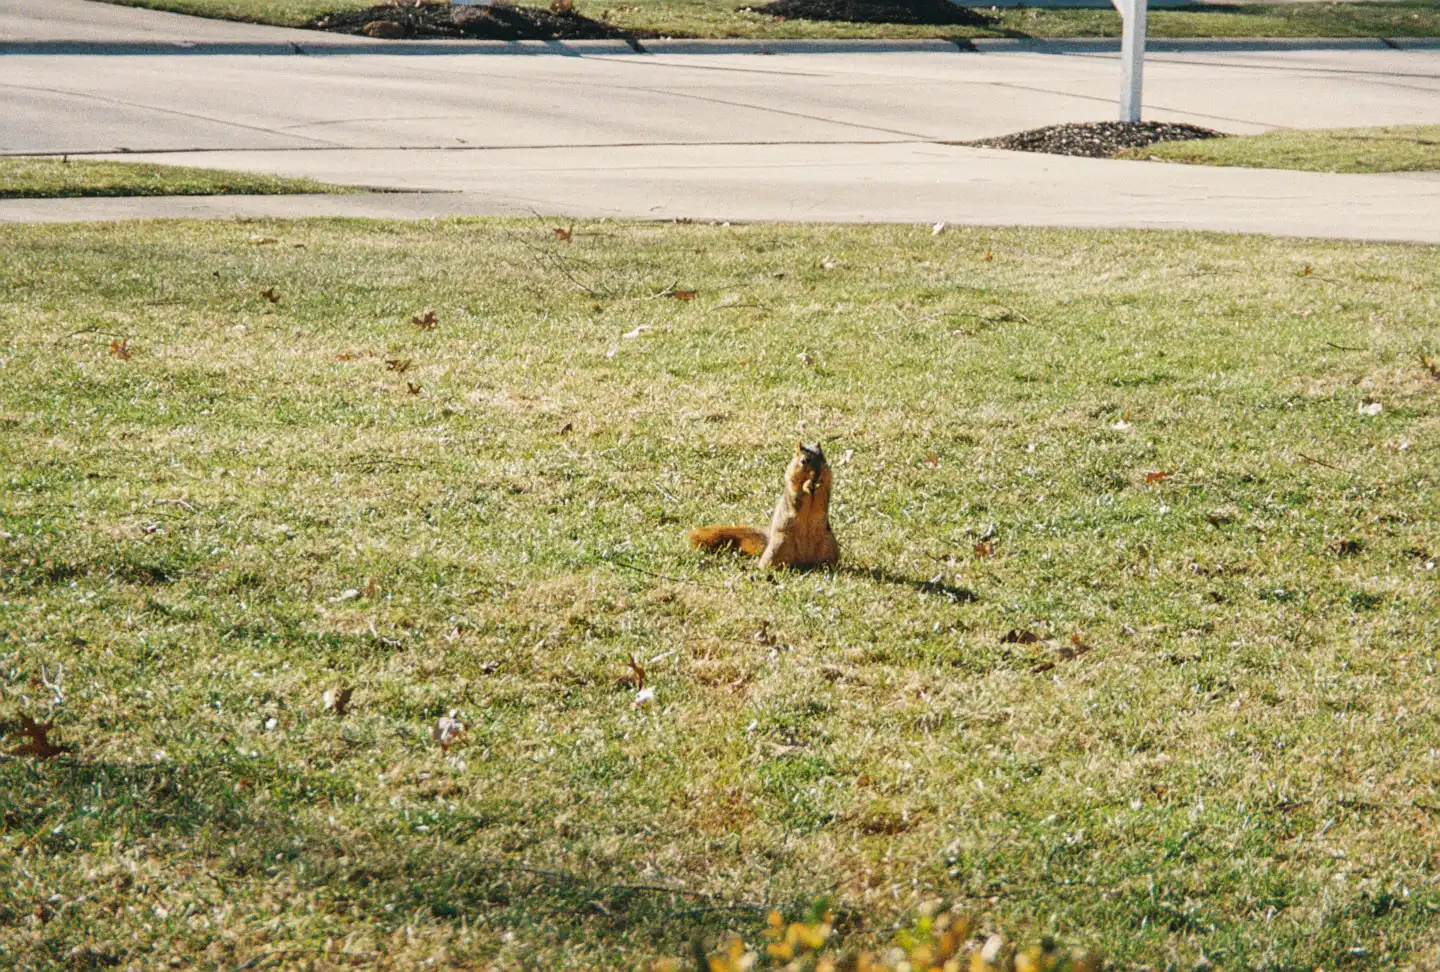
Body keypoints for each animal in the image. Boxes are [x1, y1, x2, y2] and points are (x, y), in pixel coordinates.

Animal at [688, 442, 840, 569]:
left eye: (824, 459)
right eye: (803, 461)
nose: (817, 474)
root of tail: (804, 562)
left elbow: (824, 490)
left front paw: (818, 484)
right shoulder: (792, 486)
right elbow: (797, 492)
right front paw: (807, 485)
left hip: (829, 545)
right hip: (779, 546)